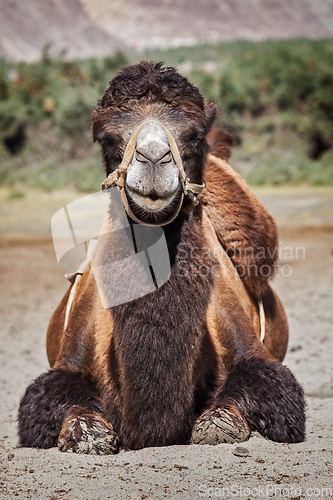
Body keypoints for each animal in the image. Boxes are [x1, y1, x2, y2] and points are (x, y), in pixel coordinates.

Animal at [17, 59, 304, 454]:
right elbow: (59, 407)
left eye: (195, 135)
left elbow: (240, 408)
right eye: (106, 138)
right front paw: (89, 432)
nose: (153, 157)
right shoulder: (65, 365)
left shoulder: (258, 360)